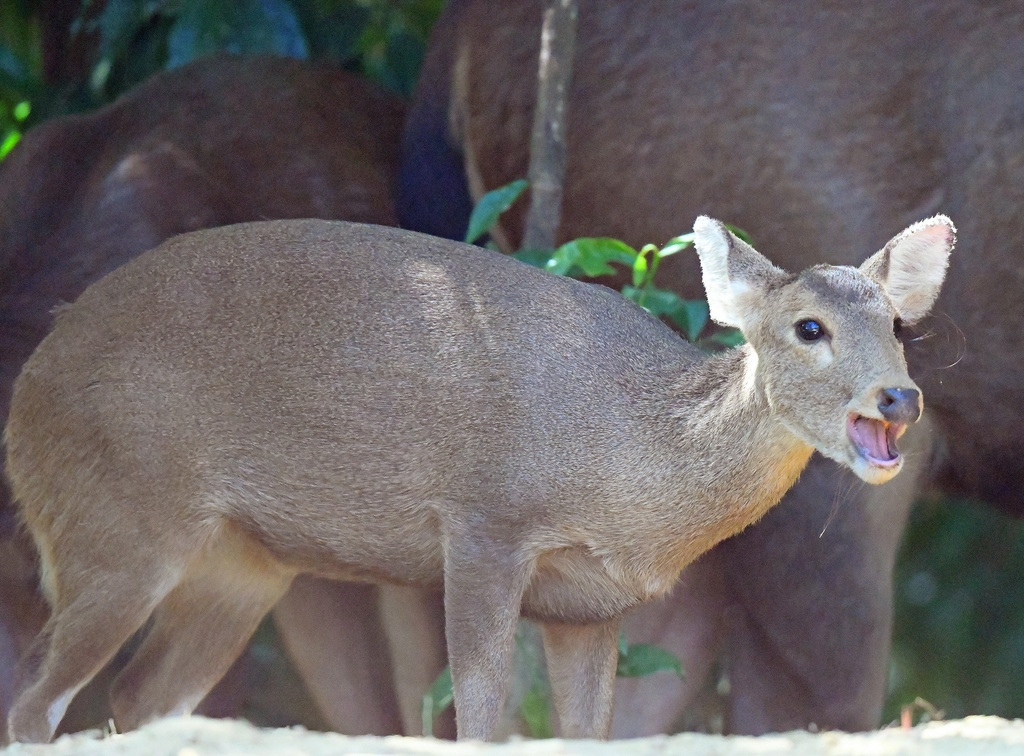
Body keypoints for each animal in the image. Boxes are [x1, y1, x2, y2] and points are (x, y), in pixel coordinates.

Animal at [6, 213, 950, 741]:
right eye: (808, 326)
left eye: (900, 325)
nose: (899, 396)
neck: (627, 457)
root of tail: (26, 391)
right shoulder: (485, 524)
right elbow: (481, 722)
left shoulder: (589, 606)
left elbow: (585, 735)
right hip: (116, 517)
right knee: (34, 699)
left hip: (241, 567)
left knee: (137, 695)